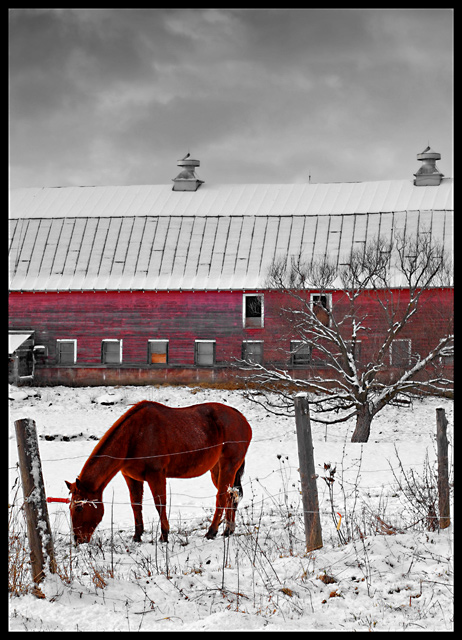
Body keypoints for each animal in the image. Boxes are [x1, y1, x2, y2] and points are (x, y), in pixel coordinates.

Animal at [64, 402, 251, 544]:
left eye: (79, 507)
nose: (78, 539)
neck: (133, 436)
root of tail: (241, 418)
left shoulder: (156, 475)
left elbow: (160, 504)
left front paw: (164, 535)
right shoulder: (131, 478)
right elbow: (136, 505)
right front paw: (137, 536)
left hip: (227, 466)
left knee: (222, 496)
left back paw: (212, 531)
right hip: (217, 469)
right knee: (230, 495)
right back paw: (228, 530)